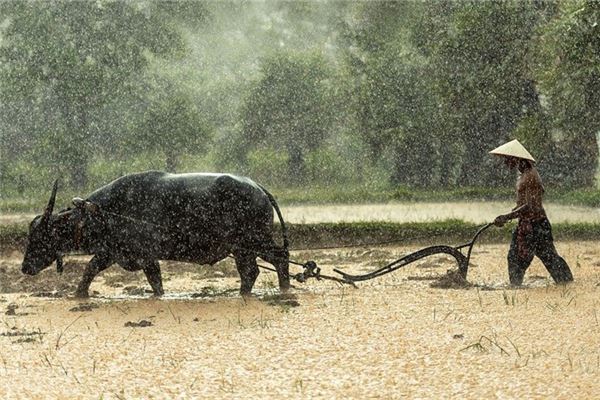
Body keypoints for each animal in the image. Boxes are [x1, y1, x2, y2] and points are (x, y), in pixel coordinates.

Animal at [19, 170, 290, 298]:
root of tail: (258, 188)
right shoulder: (111, 252)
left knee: (279, 258)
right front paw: (79, 294)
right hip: (243, 248)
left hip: (255, 241)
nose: (24, 267)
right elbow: (90, 270)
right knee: (252, 271)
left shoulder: (145, 255)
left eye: (40, 237)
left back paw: (283, 289)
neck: (106, 212)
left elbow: (155, 282)